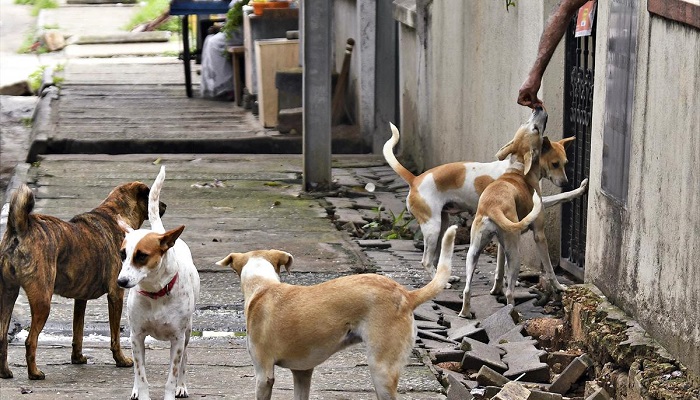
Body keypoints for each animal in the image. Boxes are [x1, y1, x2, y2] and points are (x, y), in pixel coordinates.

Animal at [117, 166, 200, 400]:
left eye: (142, 256)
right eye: (122, 254)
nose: (121, 281)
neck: (155, 293)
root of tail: (162, 233)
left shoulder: (178, 339)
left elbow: (172, 374)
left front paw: (173, 390)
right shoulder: (136, 336)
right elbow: (140, 372)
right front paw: (141, 392)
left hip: (188, 332)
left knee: (184, 361)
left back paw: (182, 386)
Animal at [382, 122, 584, 282]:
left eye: (566, 163)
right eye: (555, 164)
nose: (565, 182)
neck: (517, 166)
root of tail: (415, 179)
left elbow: (559, 198)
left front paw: (579, 190)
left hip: (442, 225)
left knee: (435, 257)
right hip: (432, 227)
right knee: (425, 260)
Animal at [456, 107, 568, 318]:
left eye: (526, 123)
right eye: (535, 129)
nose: (538, 108)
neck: (518, 168)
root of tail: (492, 206)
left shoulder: (501, 245)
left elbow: (499, 269)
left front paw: (495, 289)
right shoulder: (539, 235)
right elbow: (549, 268)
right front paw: (559, 287)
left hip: (473, 252)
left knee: (467, 289)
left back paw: (465, 312)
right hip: (515, 256)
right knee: (510, 291)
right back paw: (513, 313)